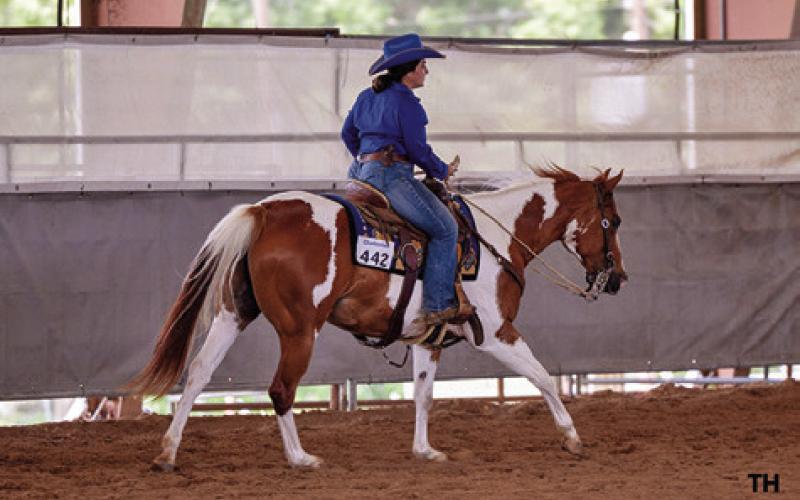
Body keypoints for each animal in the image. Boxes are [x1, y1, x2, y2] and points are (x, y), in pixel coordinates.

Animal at [127, 165, 627, 470]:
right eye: (614, 221)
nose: (619, 278)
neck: (493, 241)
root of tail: (266, 211)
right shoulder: (496, 333)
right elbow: (543, 377)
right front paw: (572, 437)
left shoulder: (427, 339)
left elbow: (423, 395)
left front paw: (424, 450)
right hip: (299, 330)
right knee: (281, 389)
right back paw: (301, 458)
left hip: (233, 315)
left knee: (197, 374)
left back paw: (167, 453)